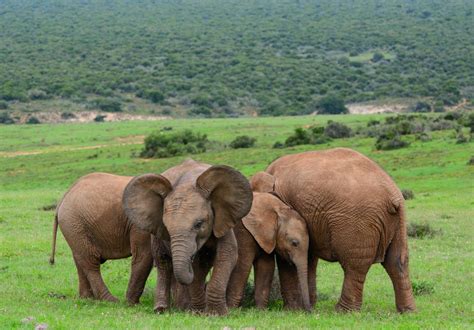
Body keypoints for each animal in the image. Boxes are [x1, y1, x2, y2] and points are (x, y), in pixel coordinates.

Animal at [50, 173, 154, 304]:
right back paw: (111, 300)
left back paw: (87, 298)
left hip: (75, 227)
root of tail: (65, 195)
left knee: (79, 258)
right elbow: (144, 254)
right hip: (74, 222)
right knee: (90, 260)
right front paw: (132, 304)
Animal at [124, 159, 254, 316]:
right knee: (163, 263)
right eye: (166, 227)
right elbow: (196, 267)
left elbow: (227, 254)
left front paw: (216, 314)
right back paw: (163, 310)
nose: (190, 258)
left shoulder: (222, 218)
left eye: (199, 224)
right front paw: (198, 312)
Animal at [252, 148, 414, 314]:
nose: (309, 311)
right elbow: (308, 257)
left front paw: (292, 310)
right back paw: (407, 311)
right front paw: (305, 307)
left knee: (354, 265)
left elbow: (286, 260)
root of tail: (393, 195)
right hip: (398, 221)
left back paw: (343, 311)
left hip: (358, 221)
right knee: (397, 262)